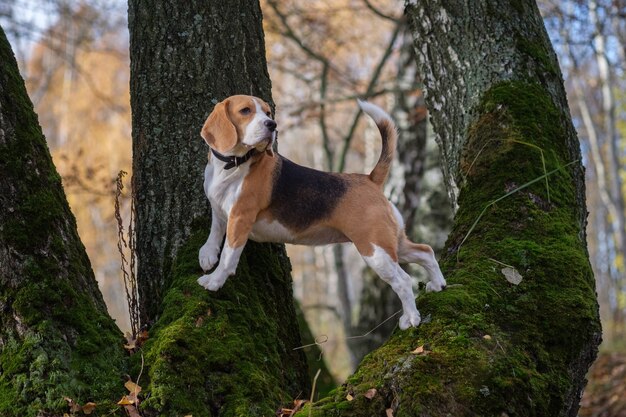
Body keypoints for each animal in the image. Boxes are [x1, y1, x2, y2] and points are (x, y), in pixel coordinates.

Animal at [197, 95, 446, 328]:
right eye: (245, 110)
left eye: (267, 112)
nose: (272, 124)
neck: (232, 165)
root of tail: (369, 179)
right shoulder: (221, 210)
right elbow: (215, 231)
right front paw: (207, 254)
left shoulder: (240, 218)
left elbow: (229, 254)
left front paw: (214, 280)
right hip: (392, 243)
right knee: (426, 251)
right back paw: (438, 284)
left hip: (374, 250)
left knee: (403, 280)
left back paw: (411, 318)